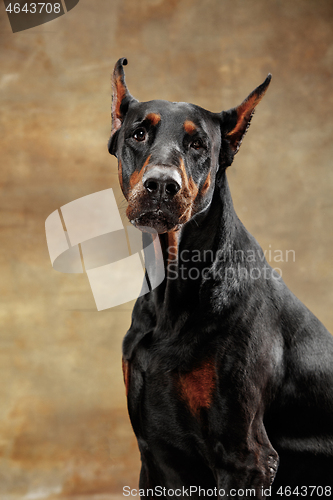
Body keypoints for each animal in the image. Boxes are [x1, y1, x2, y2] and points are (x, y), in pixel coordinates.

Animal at [108, 57, 332, 496]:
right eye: (138, 133)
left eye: (198, 145)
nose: (161, 185)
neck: (174, 292)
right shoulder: (155, 456)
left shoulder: (245, 456)